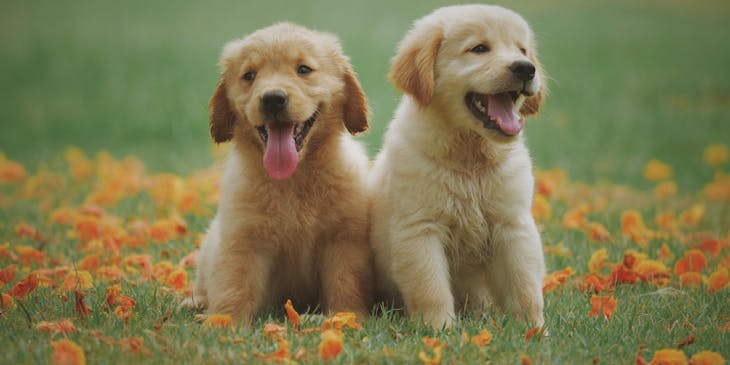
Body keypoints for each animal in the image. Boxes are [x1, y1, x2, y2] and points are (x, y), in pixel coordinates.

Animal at [182, 22, 376, 320]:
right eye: (249, 75)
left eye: (304, 69)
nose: (273, 99)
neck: (292, 179)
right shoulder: (243, 238)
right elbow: (234, 283)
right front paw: (224, 320)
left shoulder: (343, 239)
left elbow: (346, 283)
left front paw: (346, 317)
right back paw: (194, 303)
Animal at [370, 4, 544, 330]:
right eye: (479, 49)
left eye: (522, 49)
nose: (526, 68)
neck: (470, 158)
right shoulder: (420, 229)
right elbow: (431, 287)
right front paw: (440, 330)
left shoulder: (512, 225)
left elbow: (525, 284)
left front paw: (534, 330)